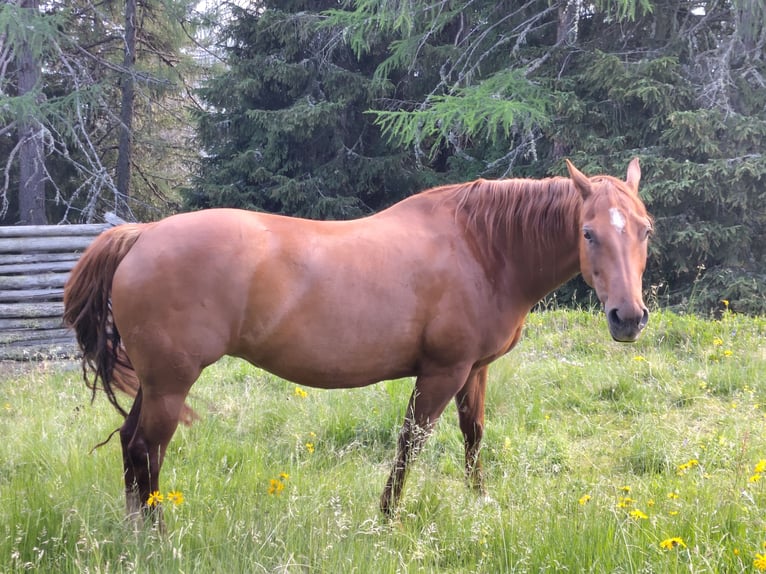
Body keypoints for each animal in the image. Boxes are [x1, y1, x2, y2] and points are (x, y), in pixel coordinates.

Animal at [63, 159, 652, 521]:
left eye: (645, 229)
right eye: (588, 232)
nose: (628, 317)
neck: (482, 248)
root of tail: (142, 235)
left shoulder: (475, 370)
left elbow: (473, 436)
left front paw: (478, 501)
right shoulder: (442, 372)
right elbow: (411, 443)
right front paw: (386, 518)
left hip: (156, 382)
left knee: (130, 446)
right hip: (171, 384)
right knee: (148, 451)